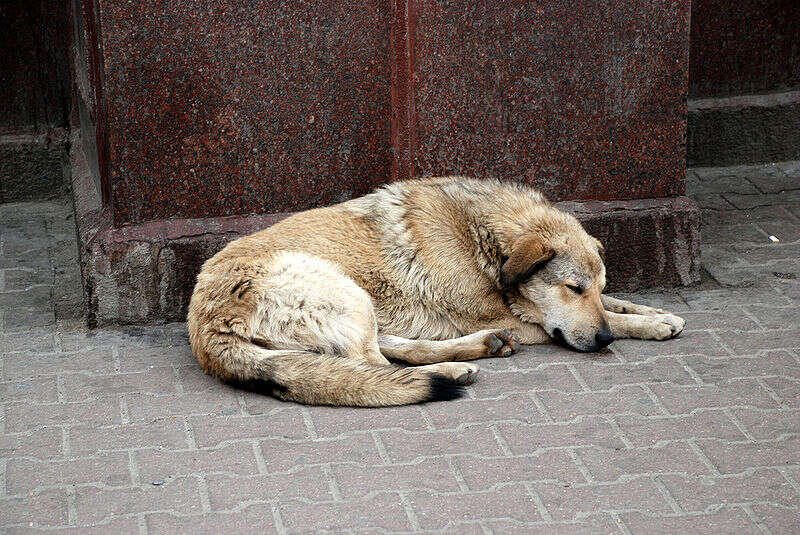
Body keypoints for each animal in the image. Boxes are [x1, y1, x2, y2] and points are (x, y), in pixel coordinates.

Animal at [186, 178, 680, 408]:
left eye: (594, 287)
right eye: (572, 288)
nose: (603, 342)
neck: (480, 234)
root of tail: (204, 325)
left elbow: (615, 307)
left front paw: (656, 314)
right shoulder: (510, 315)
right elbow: (568, 319)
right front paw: (641, 324)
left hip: (355, 306)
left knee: (389, 352)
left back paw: (475, 352)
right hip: (343, 291)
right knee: (375, 367)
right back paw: (453, 368)